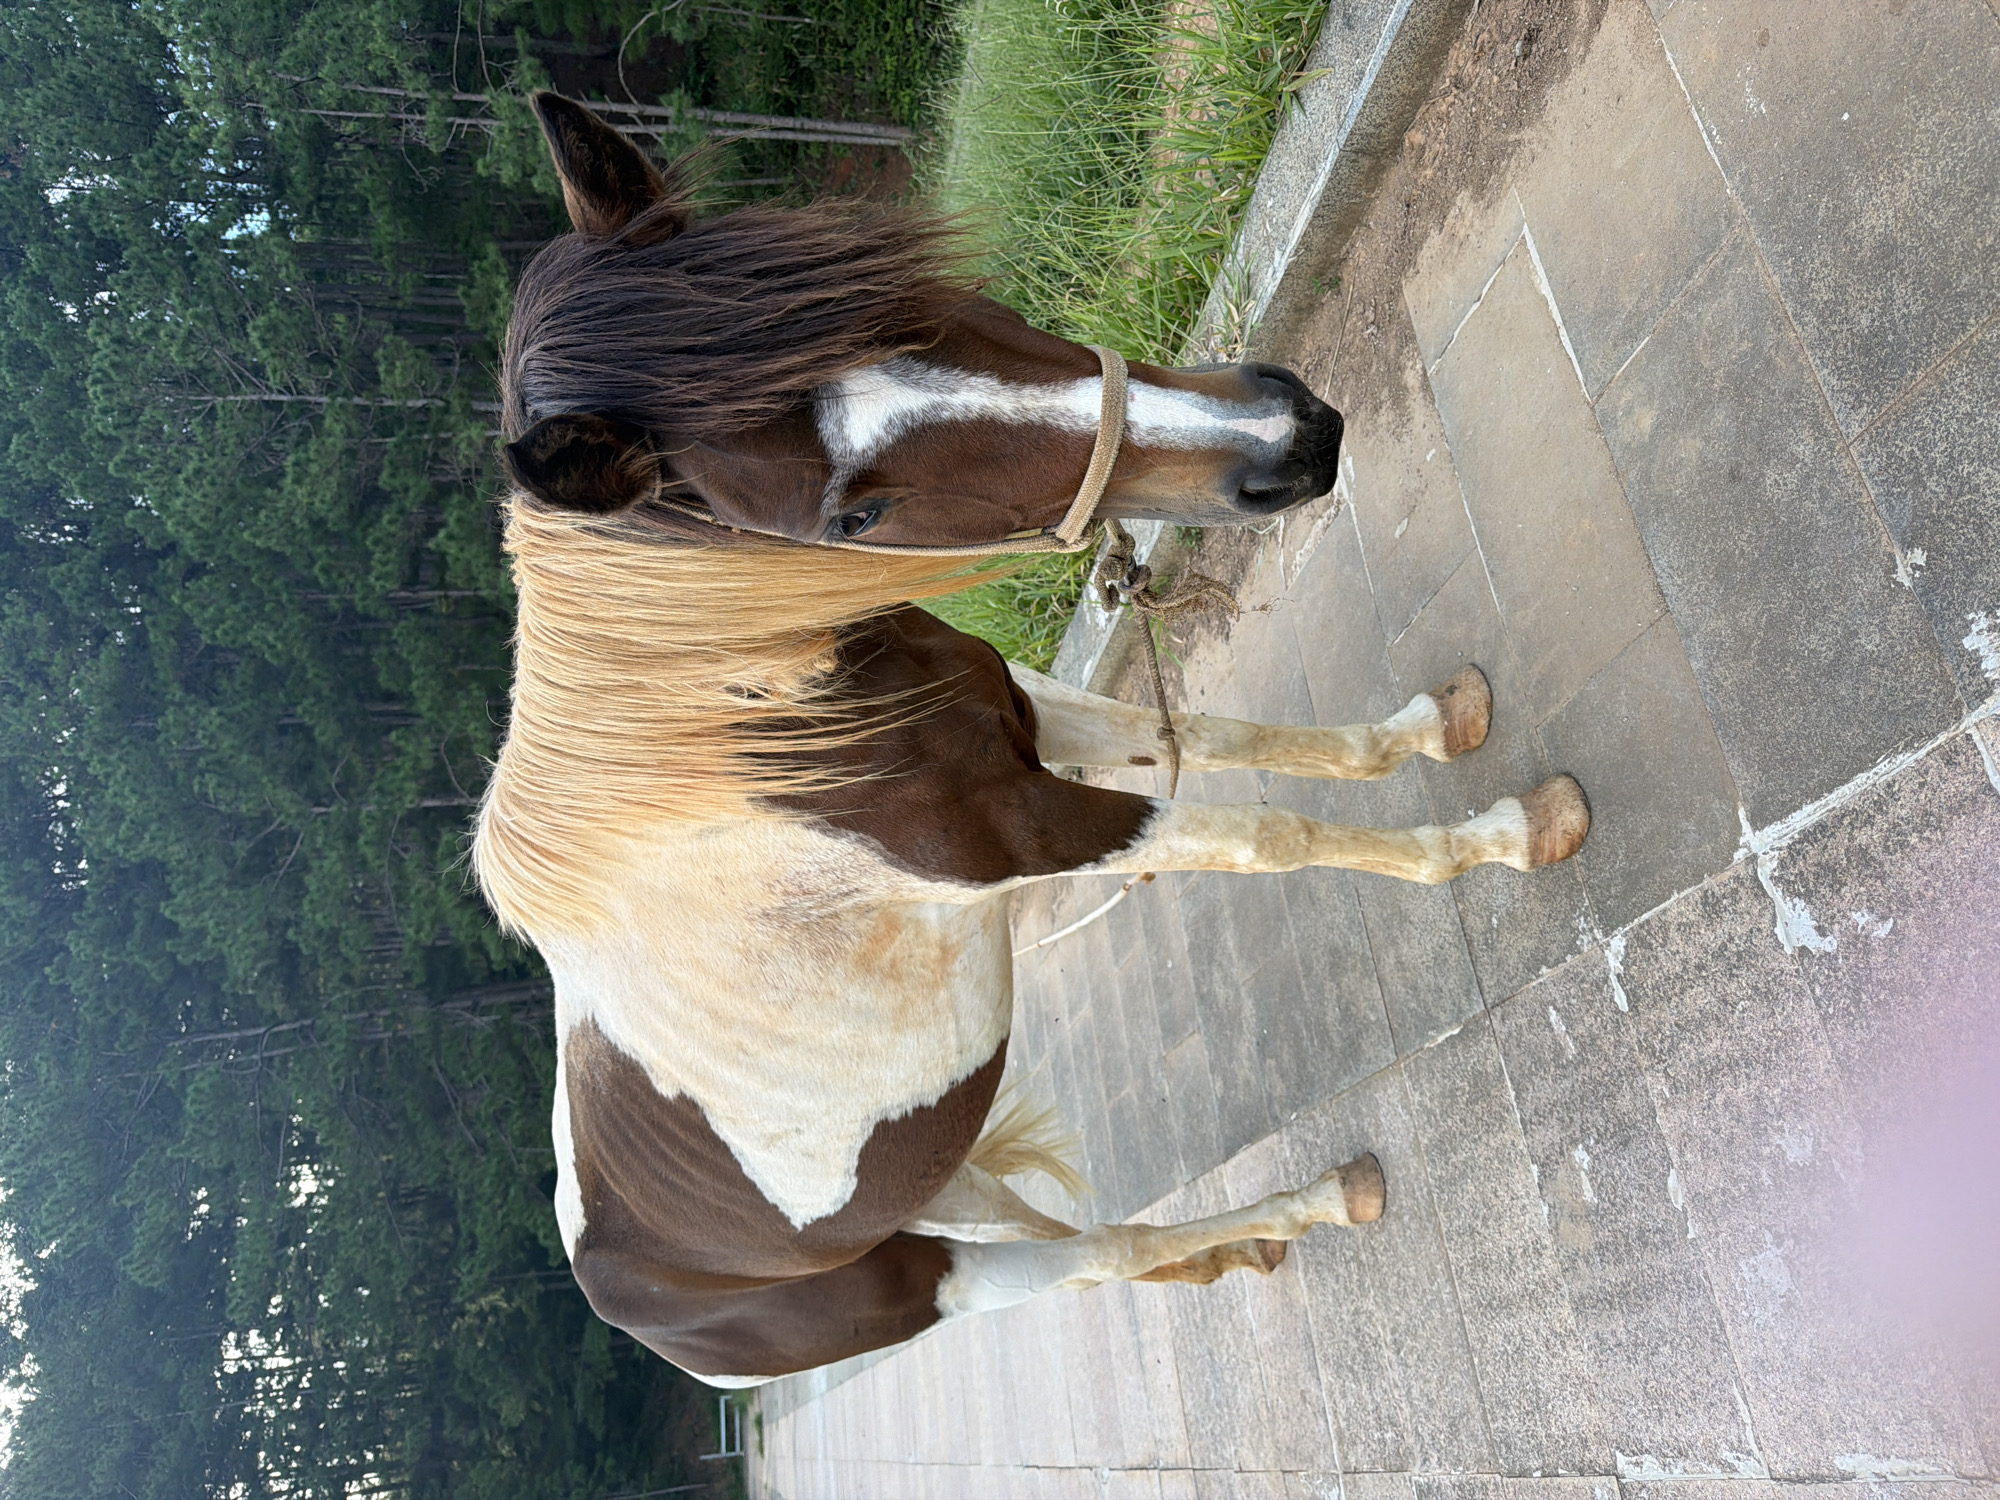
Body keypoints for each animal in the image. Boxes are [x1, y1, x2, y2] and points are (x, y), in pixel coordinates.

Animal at [473, 93, 1590, 1388]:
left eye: (919, 293)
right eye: (852, 517)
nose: (1285, 438)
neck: (755, 741)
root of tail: (621, 1295)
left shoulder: (1026, 712)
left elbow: (1223, 733)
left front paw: (1428, 727)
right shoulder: (1036, 830)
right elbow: (1265, 832)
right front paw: (1503, 834)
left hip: (948, 1180)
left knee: (1112, 1245)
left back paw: (1255, 1247)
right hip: (940, 1279)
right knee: (1098, 1258)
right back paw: (1316, 1202)